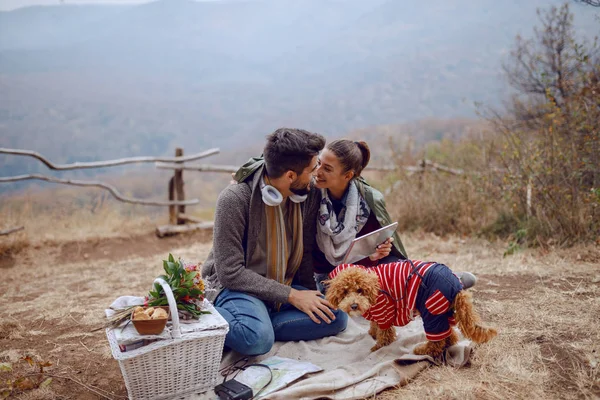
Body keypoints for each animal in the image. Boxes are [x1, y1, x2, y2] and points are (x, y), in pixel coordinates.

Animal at [324, 260, 496, 358]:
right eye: (345, 292)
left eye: (360, 290)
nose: (354, 305)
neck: (374, 287)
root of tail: (456, 283)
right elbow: (374, 325)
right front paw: (372, 333)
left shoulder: (384, 310)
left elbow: (384, 334)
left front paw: (378, 347)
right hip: (443, 309)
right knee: (449, 334)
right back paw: (446, 343)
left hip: (431, 308)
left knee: (437, 341)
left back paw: (423, 350)